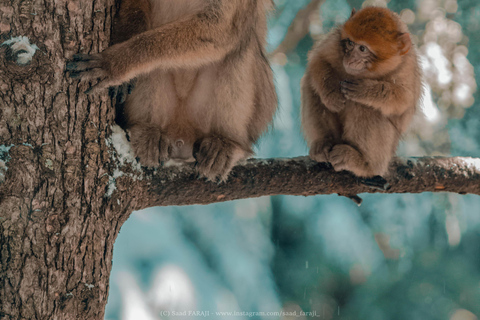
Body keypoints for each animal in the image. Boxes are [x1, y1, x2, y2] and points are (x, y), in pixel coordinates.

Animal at [67, 0, 278, 181]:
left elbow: (220, 28)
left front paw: (116, 63)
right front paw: (123, 42)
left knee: (240, 46)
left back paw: (226, 143)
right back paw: (147, 130)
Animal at [302, 6, 422, 178]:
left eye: (363, 48)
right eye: (350, 43)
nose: (350, 59)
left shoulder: (406, 66)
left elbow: (403, 100)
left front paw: (365, 90)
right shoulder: (334, 42)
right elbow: (318, 60)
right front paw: (331, 94)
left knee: (364, 107)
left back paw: (364, 163)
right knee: (310, 85)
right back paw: (324, 142)